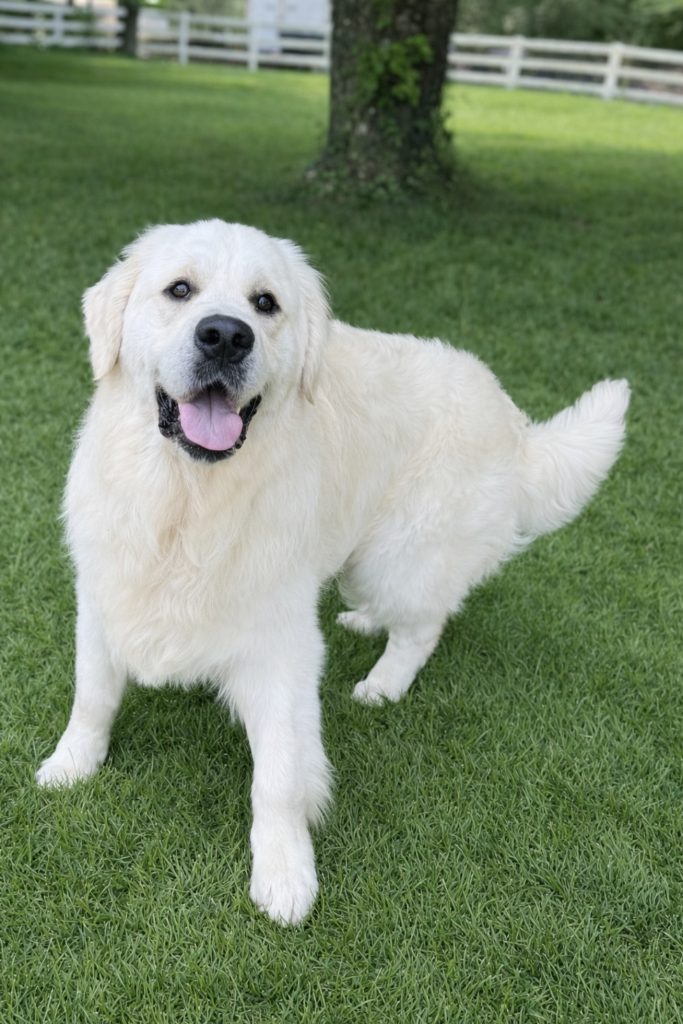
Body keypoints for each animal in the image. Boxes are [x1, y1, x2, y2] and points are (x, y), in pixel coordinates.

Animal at [36, 219, 630, 924]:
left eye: (265, 303)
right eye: (179, 289)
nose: (226, 335)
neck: (187, 504)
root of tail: (515, 423)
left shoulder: (280, 649)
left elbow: (279, 777)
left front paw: (285, 874)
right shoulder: (102, 599)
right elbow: (93, 696)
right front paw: (72, 764)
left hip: (393, 557)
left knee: (424, 625)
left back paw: (383, 685)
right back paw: (363, 623)